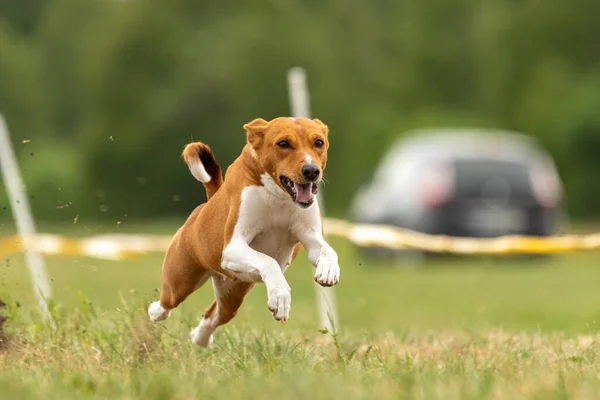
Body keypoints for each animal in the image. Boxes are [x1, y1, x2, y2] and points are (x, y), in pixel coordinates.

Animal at [148, 116, 340, 346]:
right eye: (283, 143)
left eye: (318, 142)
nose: (311, 171)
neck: (278, 196)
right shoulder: (233, 247)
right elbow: (269, 261)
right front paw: (280, 297)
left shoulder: (310, 237)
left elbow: (328, 250)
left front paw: (328, 270)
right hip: (180, 281)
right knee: (167, 304)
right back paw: (155, 311)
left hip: (233, 293)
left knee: (213, 316)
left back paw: (200, 338)